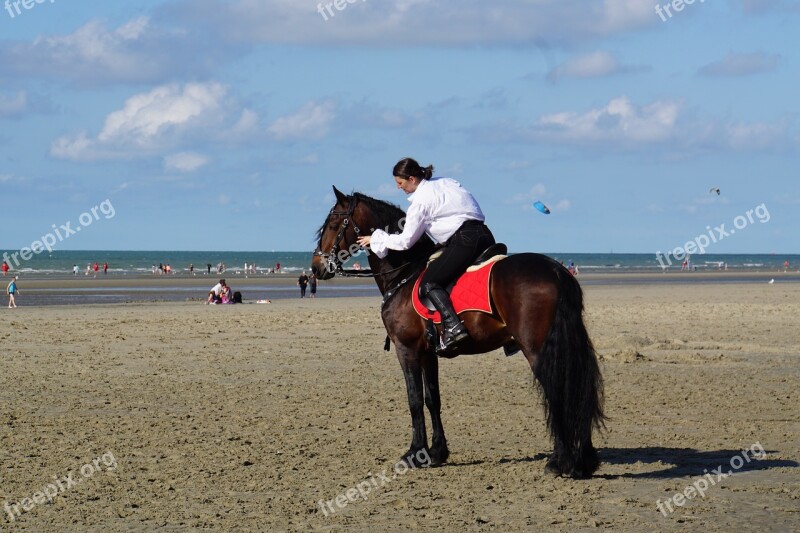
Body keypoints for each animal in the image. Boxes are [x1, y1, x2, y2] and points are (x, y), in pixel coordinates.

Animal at [312, 187, 608, 478]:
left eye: (333, 224)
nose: (315, 267)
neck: (404, 275)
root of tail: (557, 271)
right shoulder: (428, 353)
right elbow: (432, 398)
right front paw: (435, 453)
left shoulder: (406, 349)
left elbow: (414, 400)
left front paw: (413, 454)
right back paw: (583, 461)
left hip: (537, 350)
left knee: (557, 391)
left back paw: (560, 462)